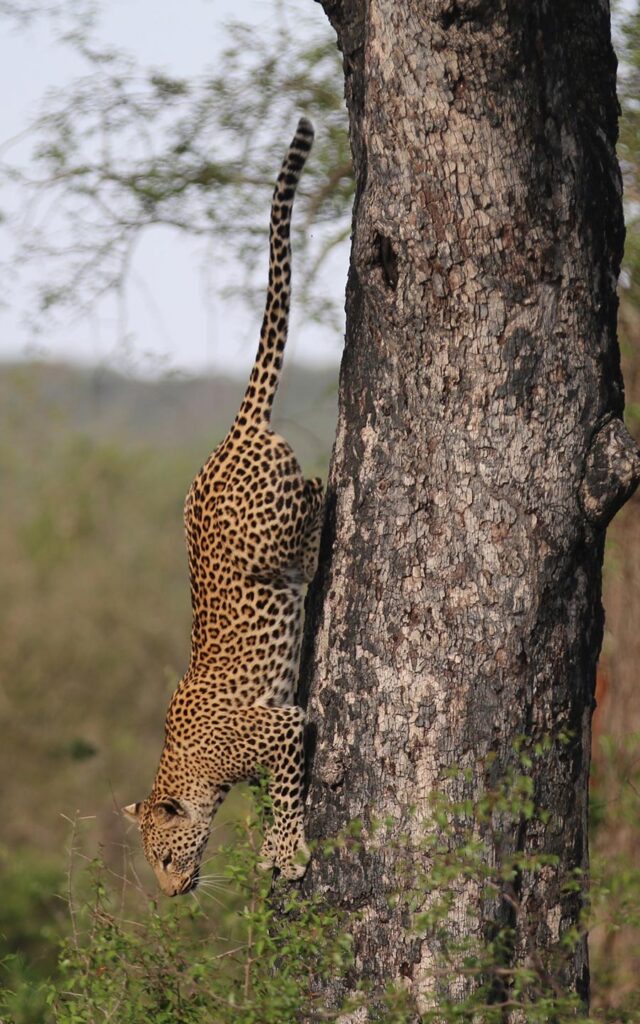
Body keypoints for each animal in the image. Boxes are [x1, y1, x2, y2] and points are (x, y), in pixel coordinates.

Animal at [124, 118, 324, 896]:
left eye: (165, 856)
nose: (171, 896)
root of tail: (230, 434)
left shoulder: (285, 726)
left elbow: (290, 790)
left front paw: (287, 849)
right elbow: (275, 791)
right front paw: (275, 847)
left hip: (273, 528)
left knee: (317, 492)